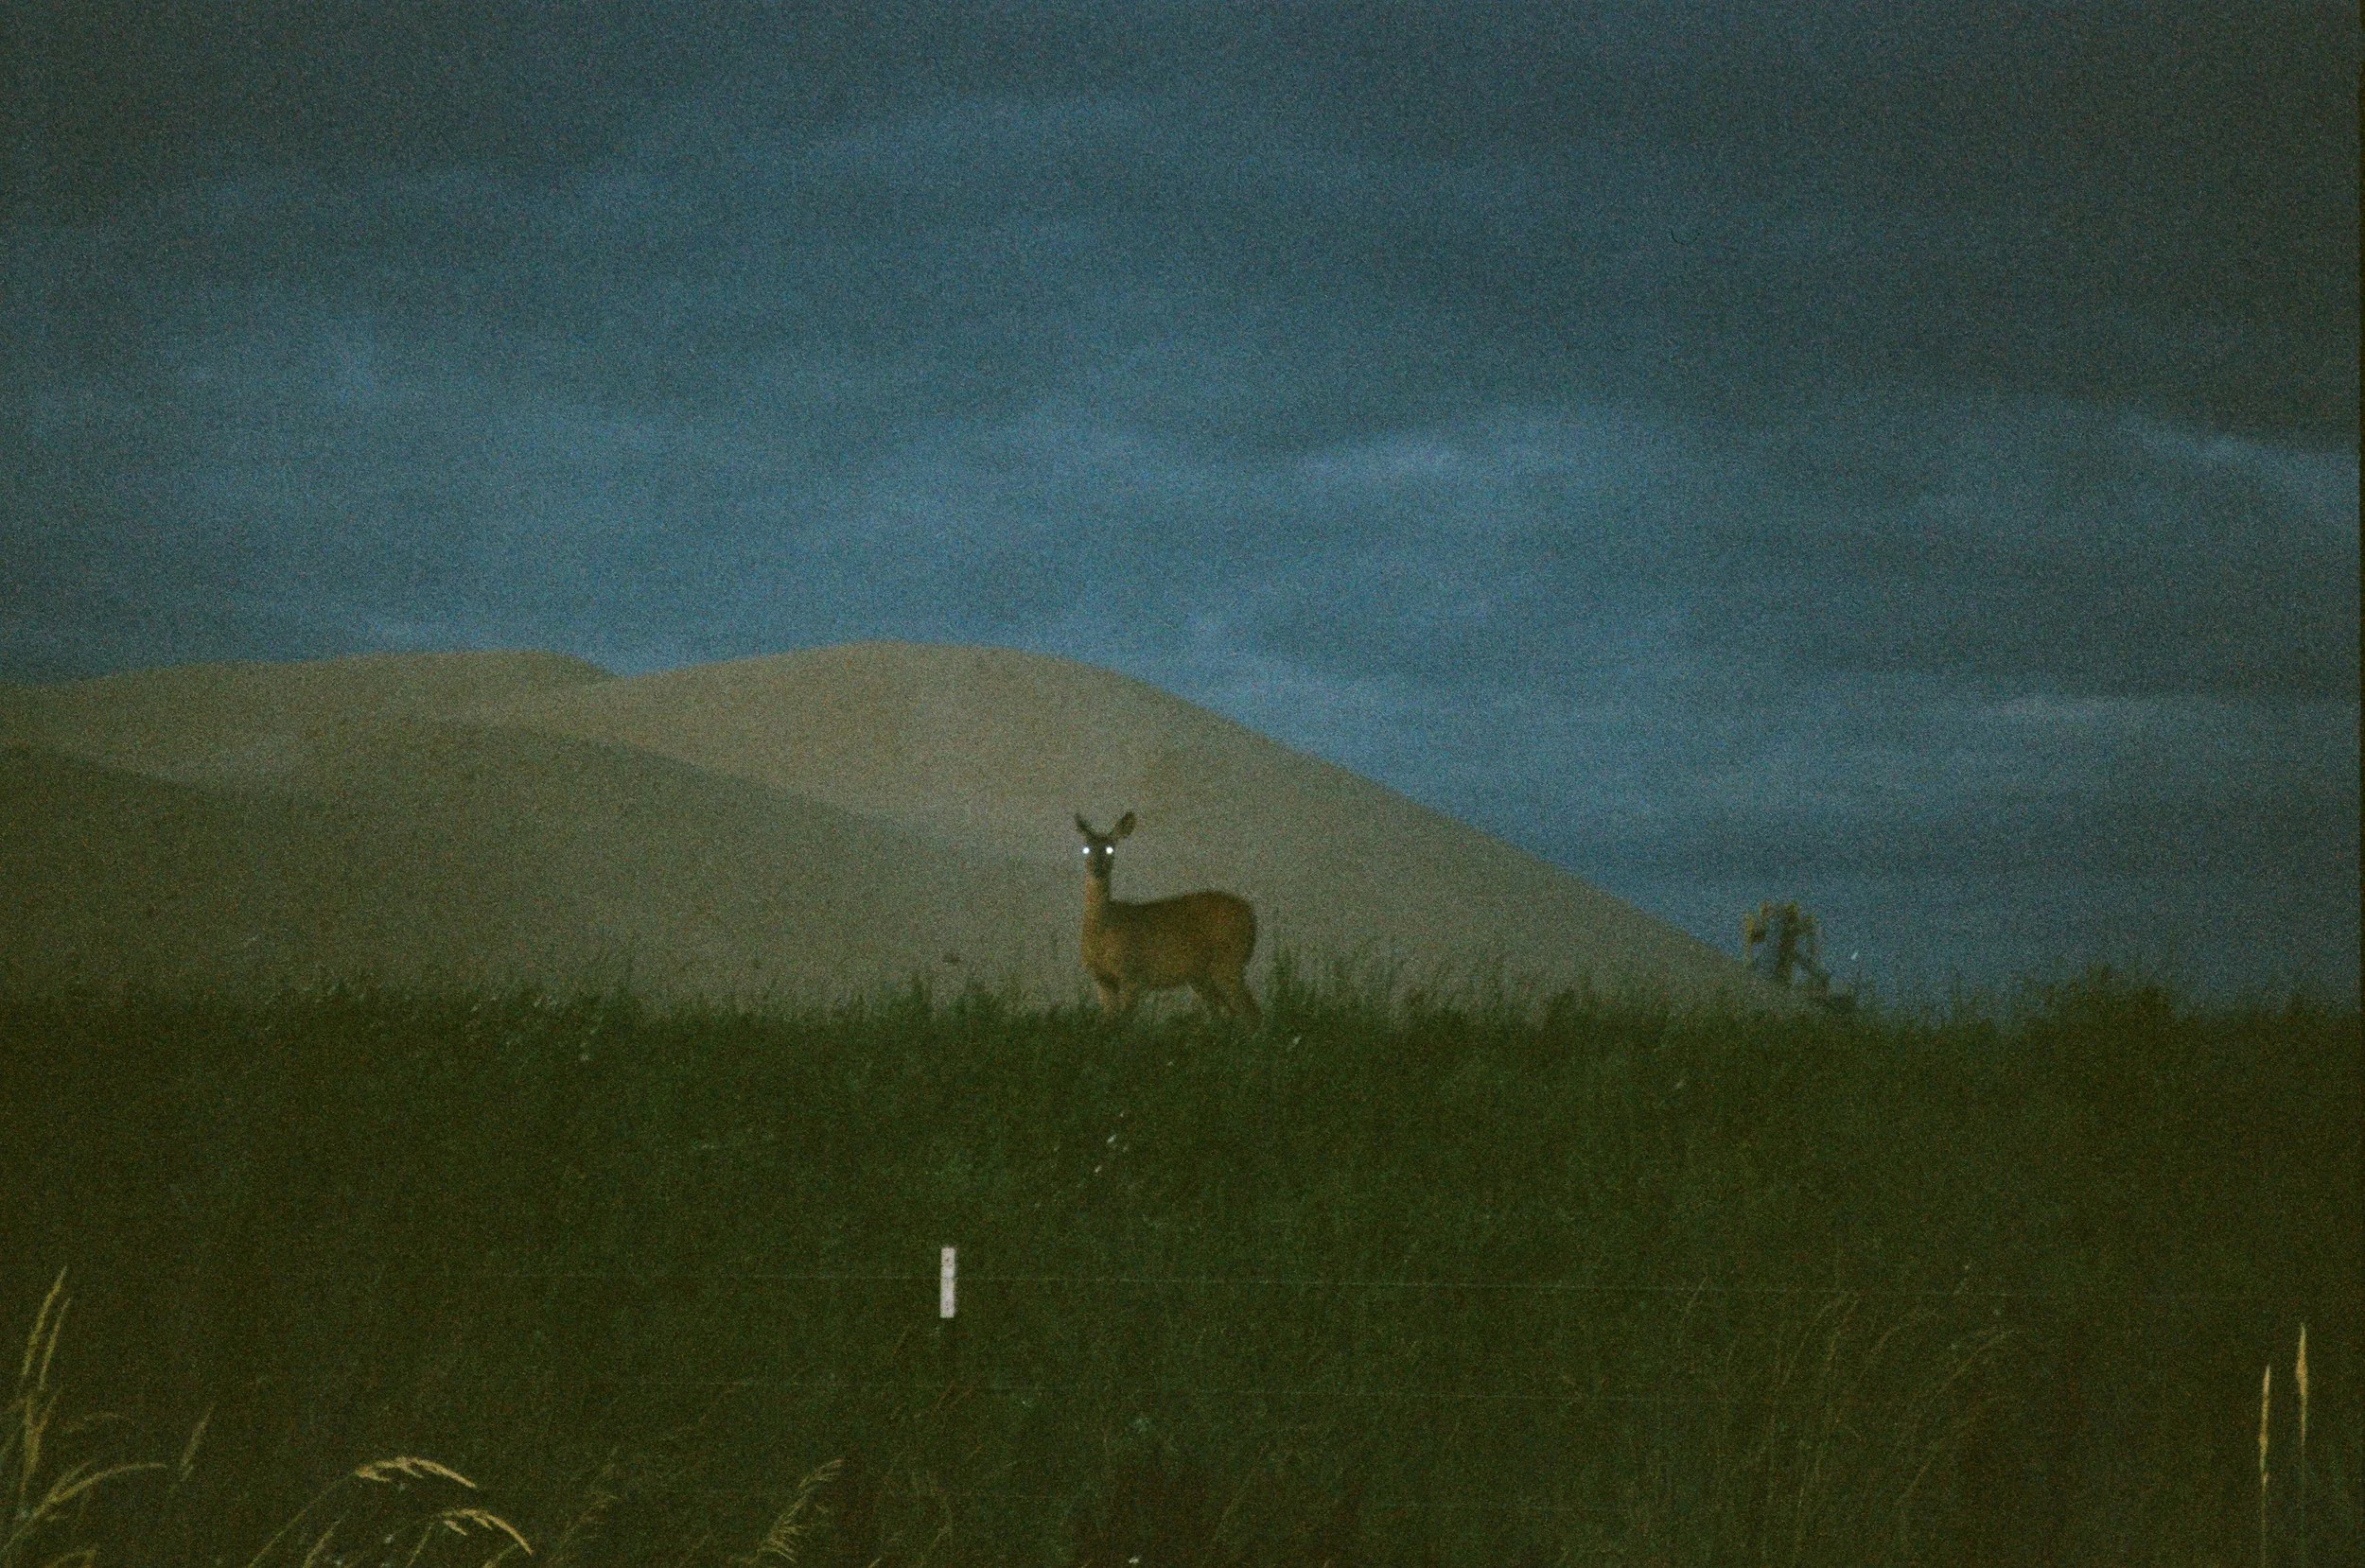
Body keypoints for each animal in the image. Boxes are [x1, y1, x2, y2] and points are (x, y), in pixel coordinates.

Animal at [1074, 811, 1262, 1029]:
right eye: (1086, 848)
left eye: (1110, 849)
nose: (1097, 868)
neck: (1104, 928)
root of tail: (1251, 914)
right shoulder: (1101, 978)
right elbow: (1109, 1021)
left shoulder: (1133, 973)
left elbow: (1124, 1022)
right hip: (1202, 975)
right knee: (1228, 1014)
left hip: (1229, 959)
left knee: (1251, 1012)